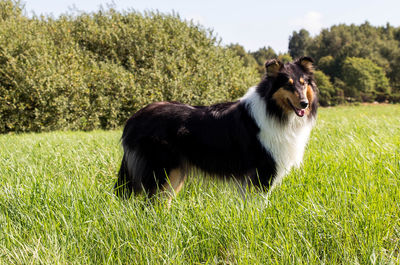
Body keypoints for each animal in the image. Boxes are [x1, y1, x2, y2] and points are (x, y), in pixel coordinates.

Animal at [114, 56, 318, 199]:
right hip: (162, 170)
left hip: (175, 173)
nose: (304, 104)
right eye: (287, 85)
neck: (274, 110)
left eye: (303, 83)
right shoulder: (262, 173)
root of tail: (134, 119)